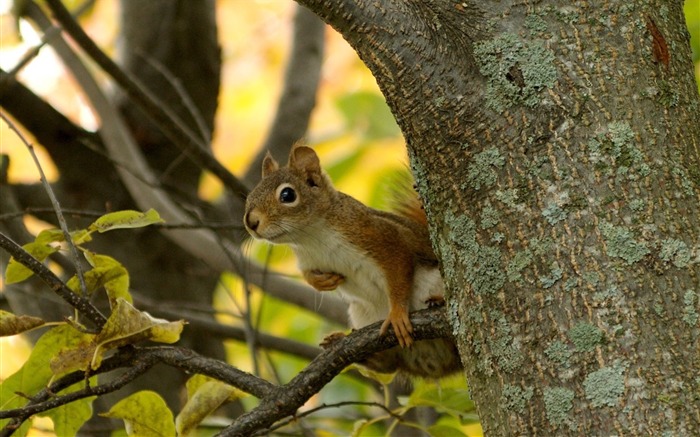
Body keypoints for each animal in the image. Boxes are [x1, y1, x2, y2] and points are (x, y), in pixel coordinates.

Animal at [243, 145, 462, 376]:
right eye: (251, 195)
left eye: (287, 195)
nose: (251, 222)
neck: (312, 237)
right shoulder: (307, 260)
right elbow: (307, 274)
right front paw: (322, 282)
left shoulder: (383, 238)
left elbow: (399, 271)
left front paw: (397, 314)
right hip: (362, 314)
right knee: (389, 365)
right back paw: (357, 350)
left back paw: (439, 300)